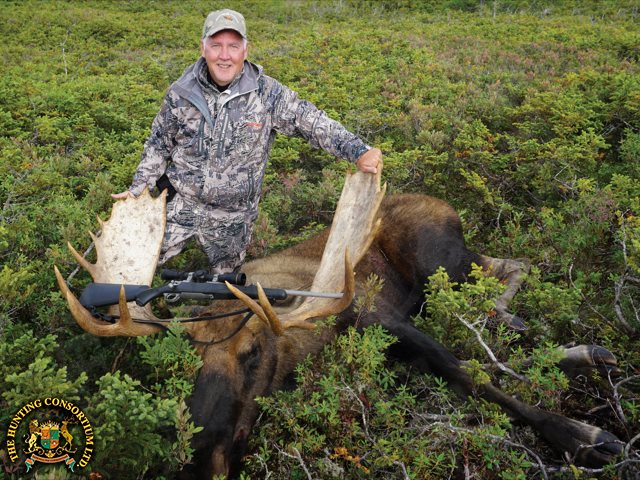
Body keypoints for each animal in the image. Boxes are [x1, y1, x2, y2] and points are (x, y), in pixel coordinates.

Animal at [55, 166, 624, 478]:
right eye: (184, 361)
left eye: (253, 354)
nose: (197, 453)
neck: (302, 351)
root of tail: (448, 204)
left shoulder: (381, 317)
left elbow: (468, 373)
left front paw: (586, 437)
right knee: (509, 270)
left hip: (437, 262)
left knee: (506, 275)